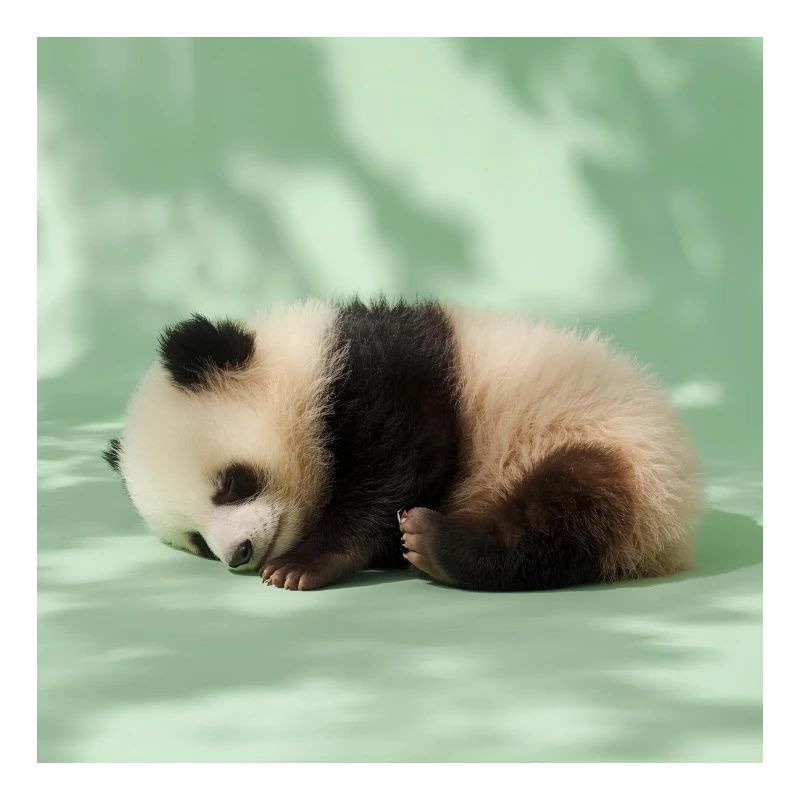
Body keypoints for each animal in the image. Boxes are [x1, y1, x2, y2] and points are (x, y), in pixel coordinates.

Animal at [104, 297, 701, 592]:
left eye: (231, 483)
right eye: (197, 542)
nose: (239, 555)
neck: (307, 363)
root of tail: (675, 541)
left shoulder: (387, 375)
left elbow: (399, 457)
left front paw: (305, 564)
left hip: (618, 447)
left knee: (573, 501)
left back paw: (442, 545)